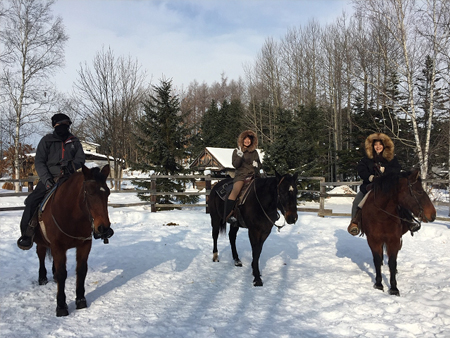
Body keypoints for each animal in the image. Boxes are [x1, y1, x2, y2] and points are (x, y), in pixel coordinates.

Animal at [32, 165, 113, 316]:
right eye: (89, 192)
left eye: (108, 193)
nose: (104, 229)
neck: (72, 216)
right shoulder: (57, 246)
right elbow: (62, 273)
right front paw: (61, 306)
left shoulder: (84, 245)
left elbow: (81, 270)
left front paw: (80, 300)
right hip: (41, 242)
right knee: (41, 255)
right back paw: (42, 278)